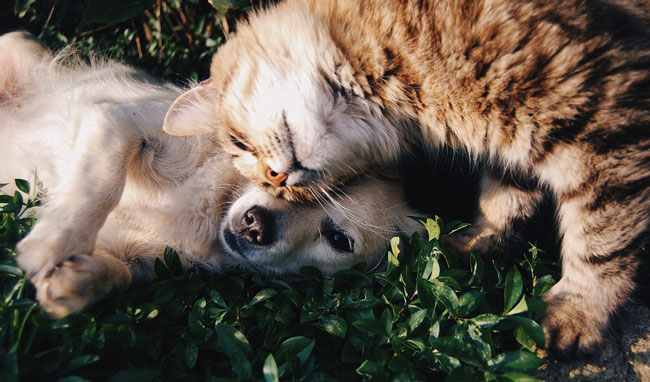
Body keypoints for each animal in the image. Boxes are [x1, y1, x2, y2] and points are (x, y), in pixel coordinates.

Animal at [0, 32, 420, 318]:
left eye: (338, 239)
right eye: (275, 176)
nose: (256, 225)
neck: (212, 208)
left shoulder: (143, 259)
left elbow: (120, 275)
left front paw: (75, 282)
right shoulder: (116, 120)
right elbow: (99, 183)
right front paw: (53, 242)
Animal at [161, 0, 648, 358]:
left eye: (239, 143)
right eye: (269, 184)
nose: (279, 178)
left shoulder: (602, 126)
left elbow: (601, 242)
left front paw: (578, 313)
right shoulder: (517, 145)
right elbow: (505, 200)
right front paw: (478, 242)